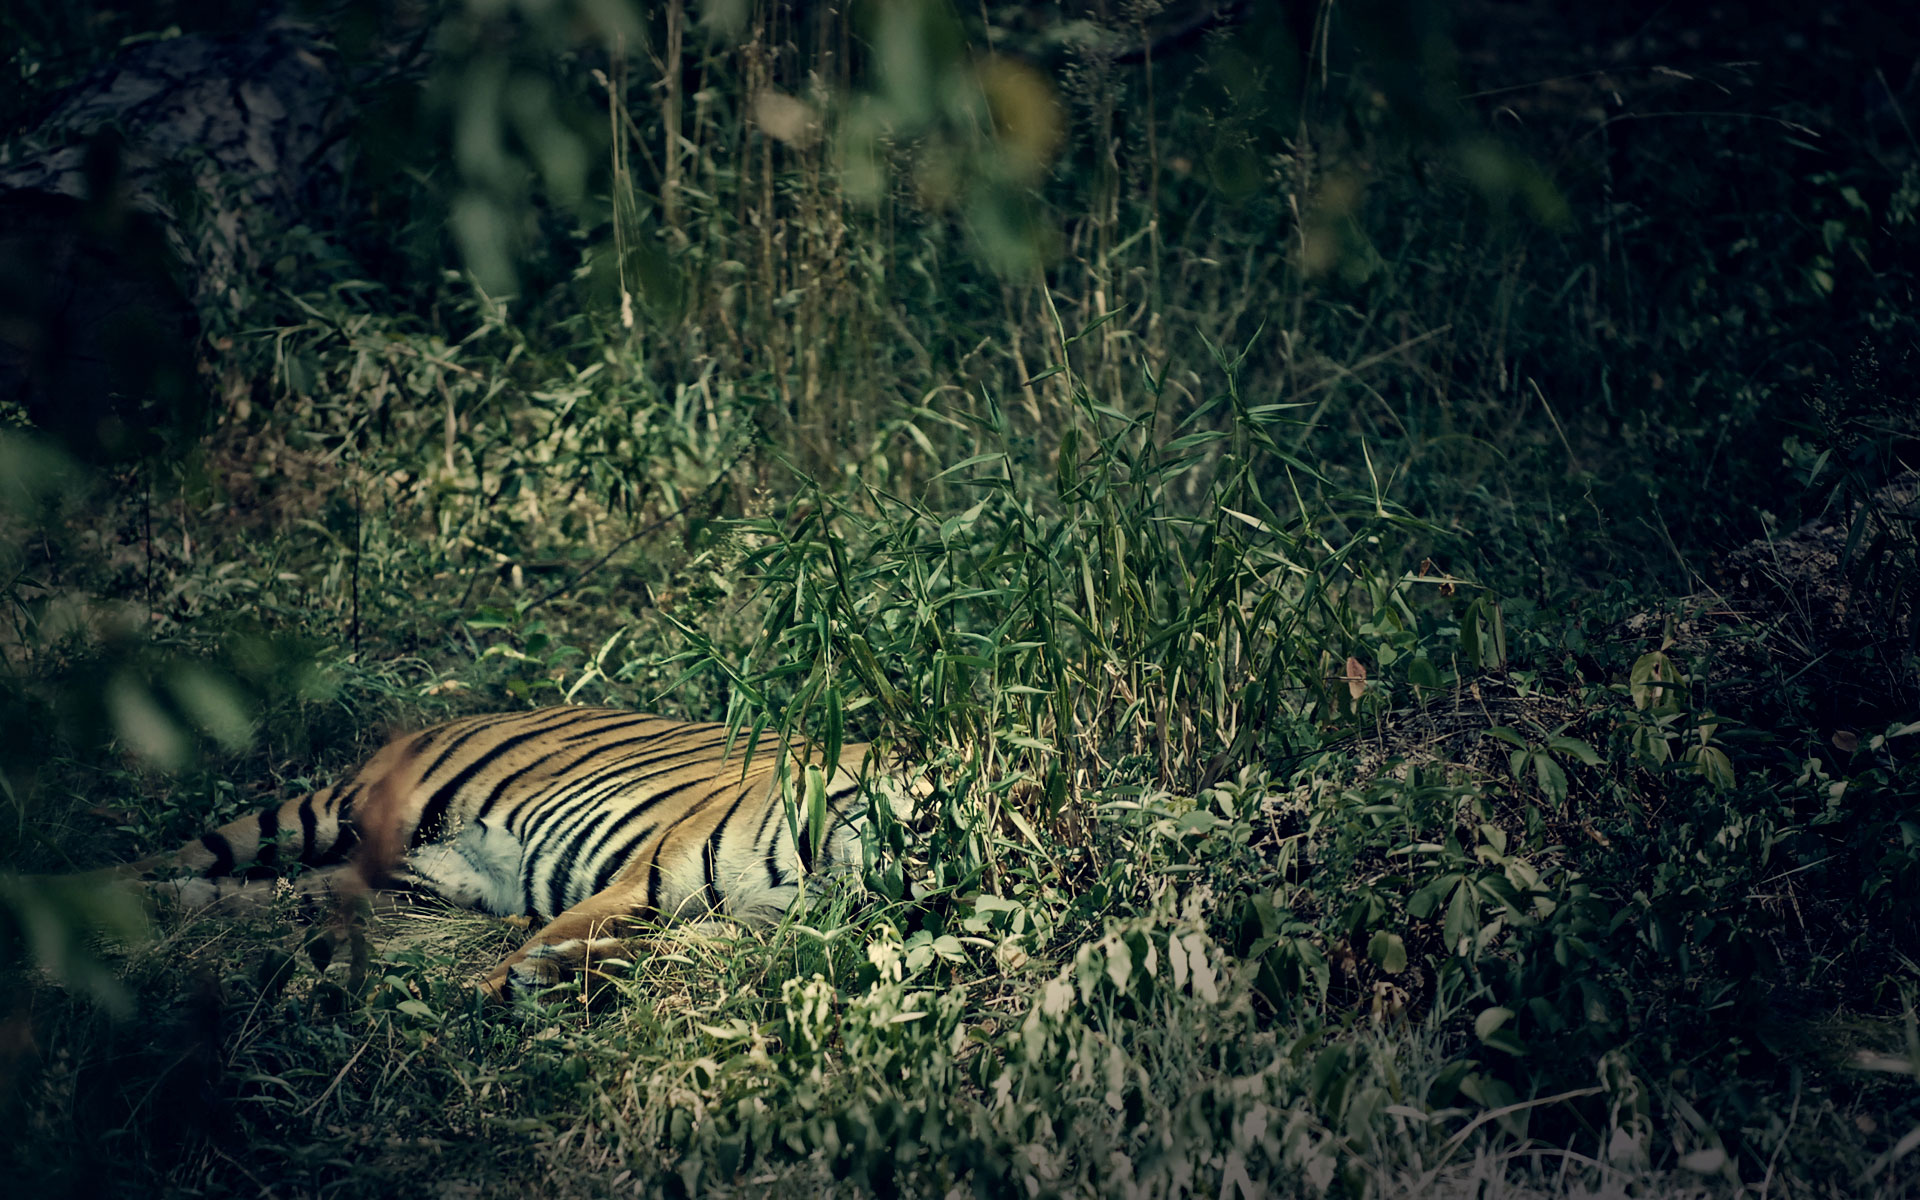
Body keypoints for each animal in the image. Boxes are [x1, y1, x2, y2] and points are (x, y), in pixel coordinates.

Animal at [105, 706, 913, 998]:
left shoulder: (747, 934)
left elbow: (653, 954)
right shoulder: (642, 884)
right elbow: (551, 942)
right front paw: (482, 1001)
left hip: (396, 887)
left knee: (235, 897)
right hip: (317, 813)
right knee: (165, 859)